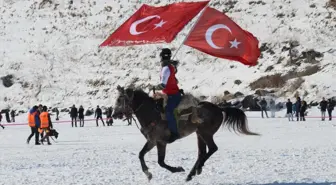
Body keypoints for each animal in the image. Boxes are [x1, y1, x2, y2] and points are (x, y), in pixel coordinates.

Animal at [113, 86, 260, 181]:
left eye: (120, 100)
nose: (114, 114)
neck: (152, 114)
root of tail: (219, 108)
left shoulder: (159, 142)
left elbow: (159, 161)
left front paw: (176, 169)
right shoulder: (153, 141)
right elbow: (143, 155)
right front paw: (148, 173)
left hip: (206, 133)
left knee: (212, 149)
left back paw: (197, 170)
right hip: (199, 134)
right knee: (202, 152)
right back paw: (192, 173)